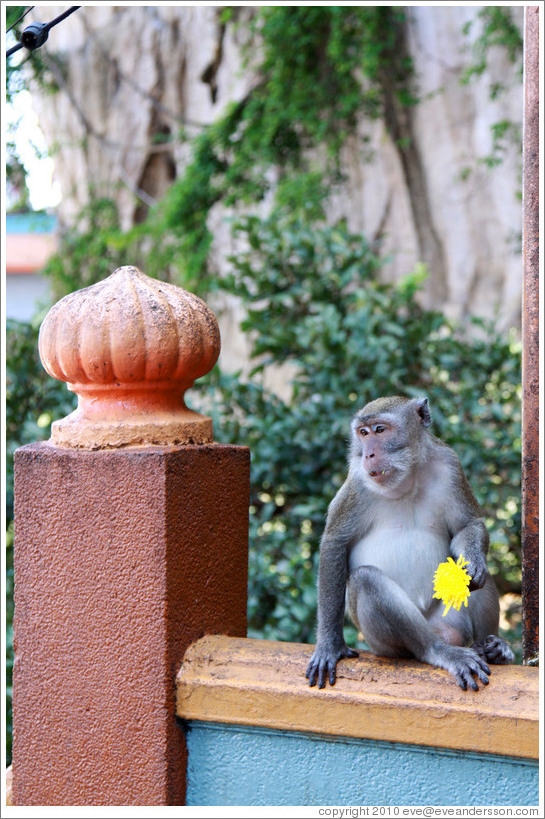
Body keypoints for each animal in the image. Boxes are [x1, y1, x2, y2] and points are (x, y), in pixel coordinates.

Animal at [306, 398, 516, 692]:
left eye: (380, 430)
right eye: (363, 433)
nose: (368, 455)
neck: (408, 478)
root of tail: (444, 632)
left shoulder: (450, 464)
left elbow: (468, 526)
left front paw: (473, 560)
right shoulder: (357, 483)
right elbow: (335, 543)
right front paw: (329, 645)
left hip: (451, 616)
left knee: (471, 576)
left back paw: (493, 646)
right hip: (384, 644)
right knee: (367, 581)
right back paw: (440, 651)